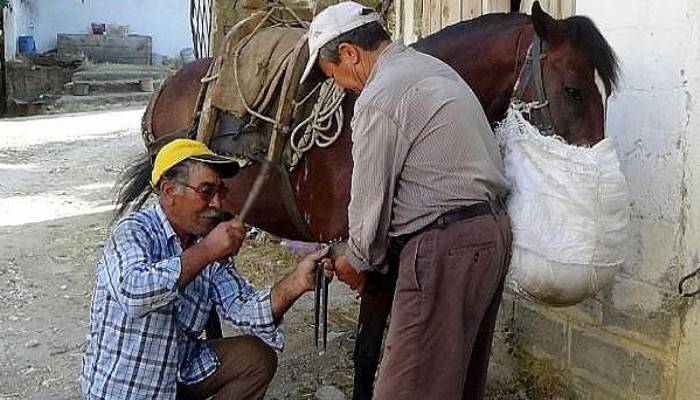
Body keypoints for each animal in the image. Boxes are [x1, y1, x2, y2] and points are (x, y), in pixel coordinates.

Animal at [116, 2, 616, 396]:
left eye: (607, 91)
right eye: (573, 89)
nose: (596, 172)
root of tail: (167, 86)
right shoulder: (372, 265)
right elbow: (367, 353)